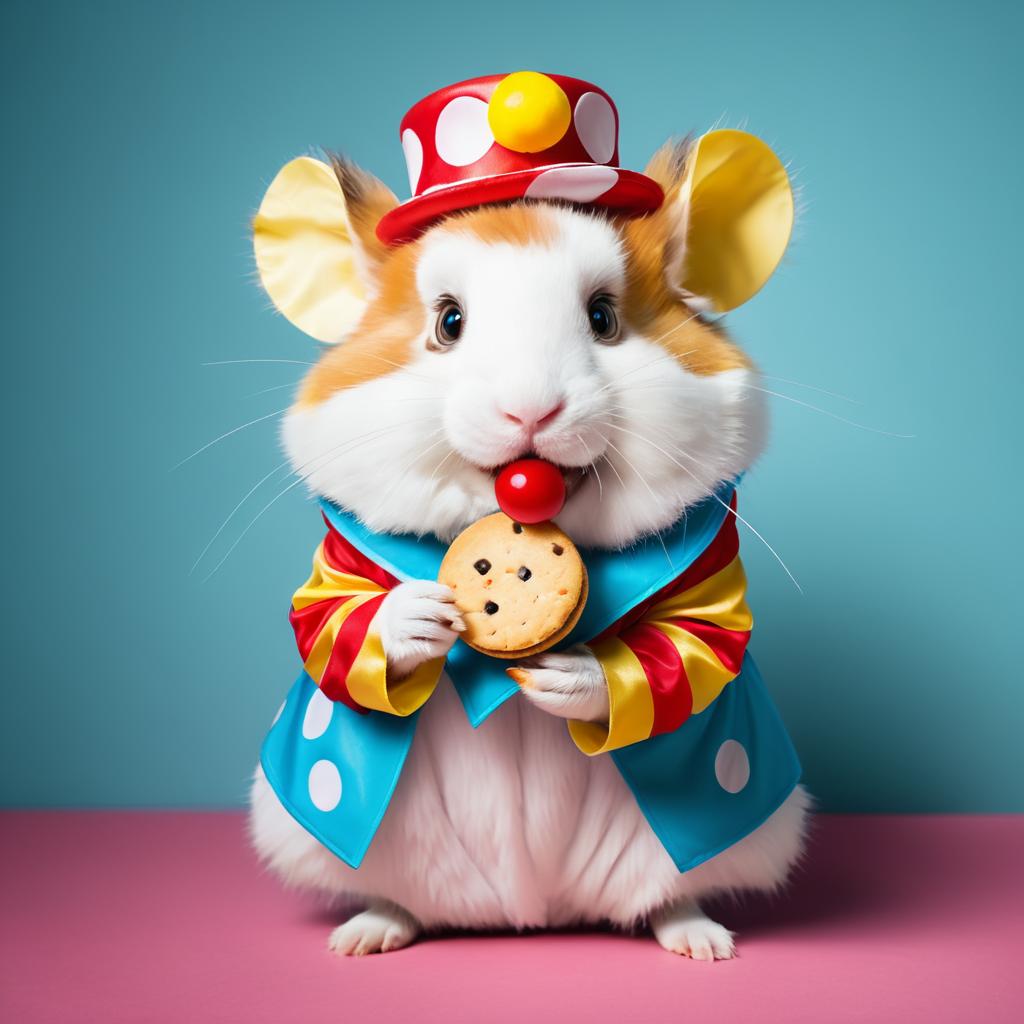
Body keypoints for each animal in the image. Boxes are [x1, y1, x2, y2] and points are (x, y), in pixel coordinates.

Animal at [245, 148, 806, 954]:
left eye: (603, 317)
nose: (531, 411)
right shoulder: (332, 567)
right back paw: (367, 933)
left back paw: (700, 939)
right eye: (448, 322)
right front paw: (419, 615)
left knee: (673, 893)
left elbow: (695, 647)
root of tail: (531, 908)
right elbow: (328, 628)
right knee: (395, 897)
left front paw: (568, 678)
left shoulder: (714, 579)